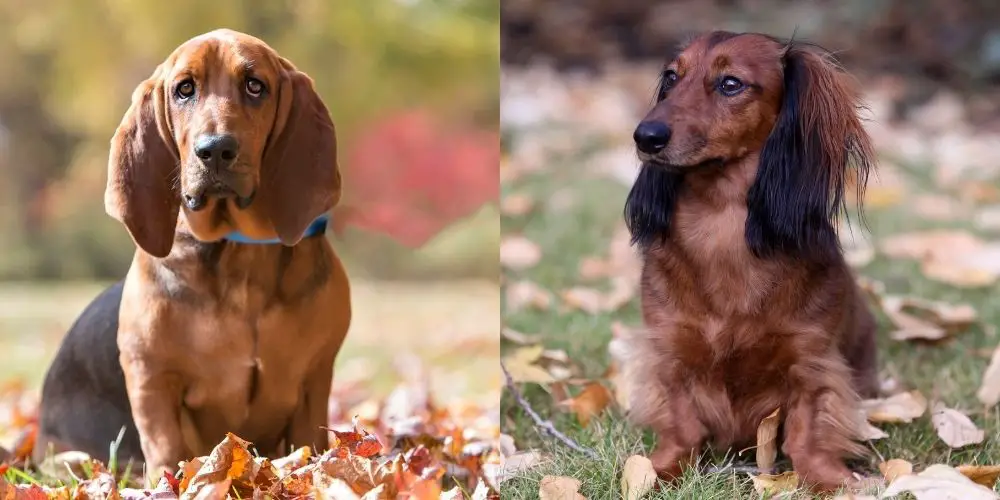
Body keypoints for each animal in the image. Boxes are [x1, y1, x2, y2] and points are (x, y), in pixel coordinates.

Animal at [35, 28, 352, 480]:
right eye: (184, 89)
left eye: (255, 86)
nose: (215, 149)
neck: (240, 249)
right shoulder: (152, 379)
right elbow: (167, 448)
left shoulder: (314, 380)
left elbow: (310, 447)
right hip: (71, 457)